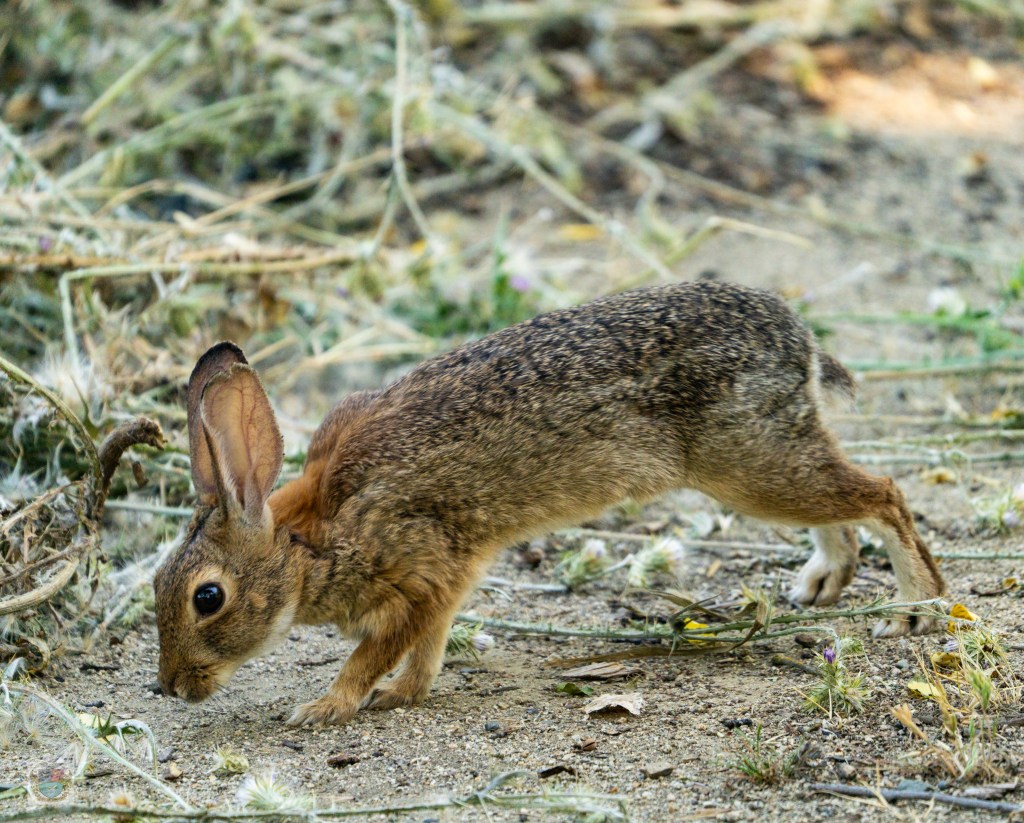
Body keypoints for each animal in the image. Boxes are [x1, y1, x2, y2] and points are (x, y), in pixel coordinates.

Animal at [153, 281, 946, 726]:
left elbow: (372, 653)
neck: (306, 543)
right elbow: (427, 650)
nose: (169, 687)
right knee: (849, 504)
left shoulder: (421, 568)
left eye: (207, 598)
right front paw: (404, 695)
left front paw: (323, 707)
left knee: (886, 494)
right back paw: (824, 580)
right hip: (769, 460)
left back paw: (917, 607)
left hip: (750, 465)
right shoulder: (450, 578)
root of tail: (798, 340)